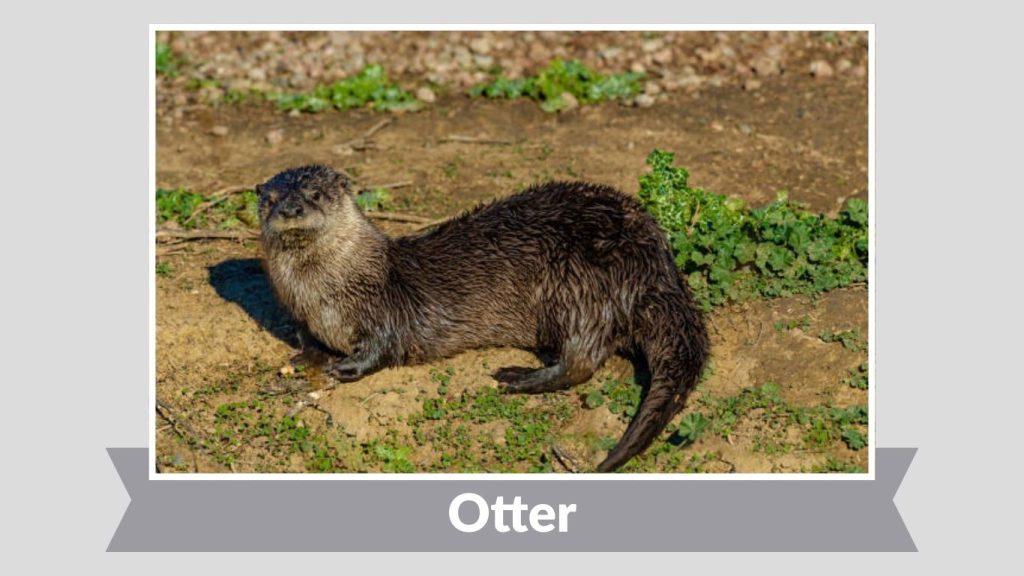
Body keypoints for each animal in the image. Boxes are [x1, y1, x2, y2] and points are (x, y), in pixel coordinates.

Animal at [257, 165, 709, 472]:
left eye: (316, 194)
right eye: (270, 198)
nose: (291, 208)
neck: (324, 294)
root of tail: (655, 261)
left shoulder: (388, 306)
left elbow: (385, 345)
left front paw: (346, 367)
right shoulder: (301, 315)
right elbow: (306, 340)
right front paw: (308, 356)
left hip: (578, 284)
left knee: (582, 361)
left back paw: (517, 378)